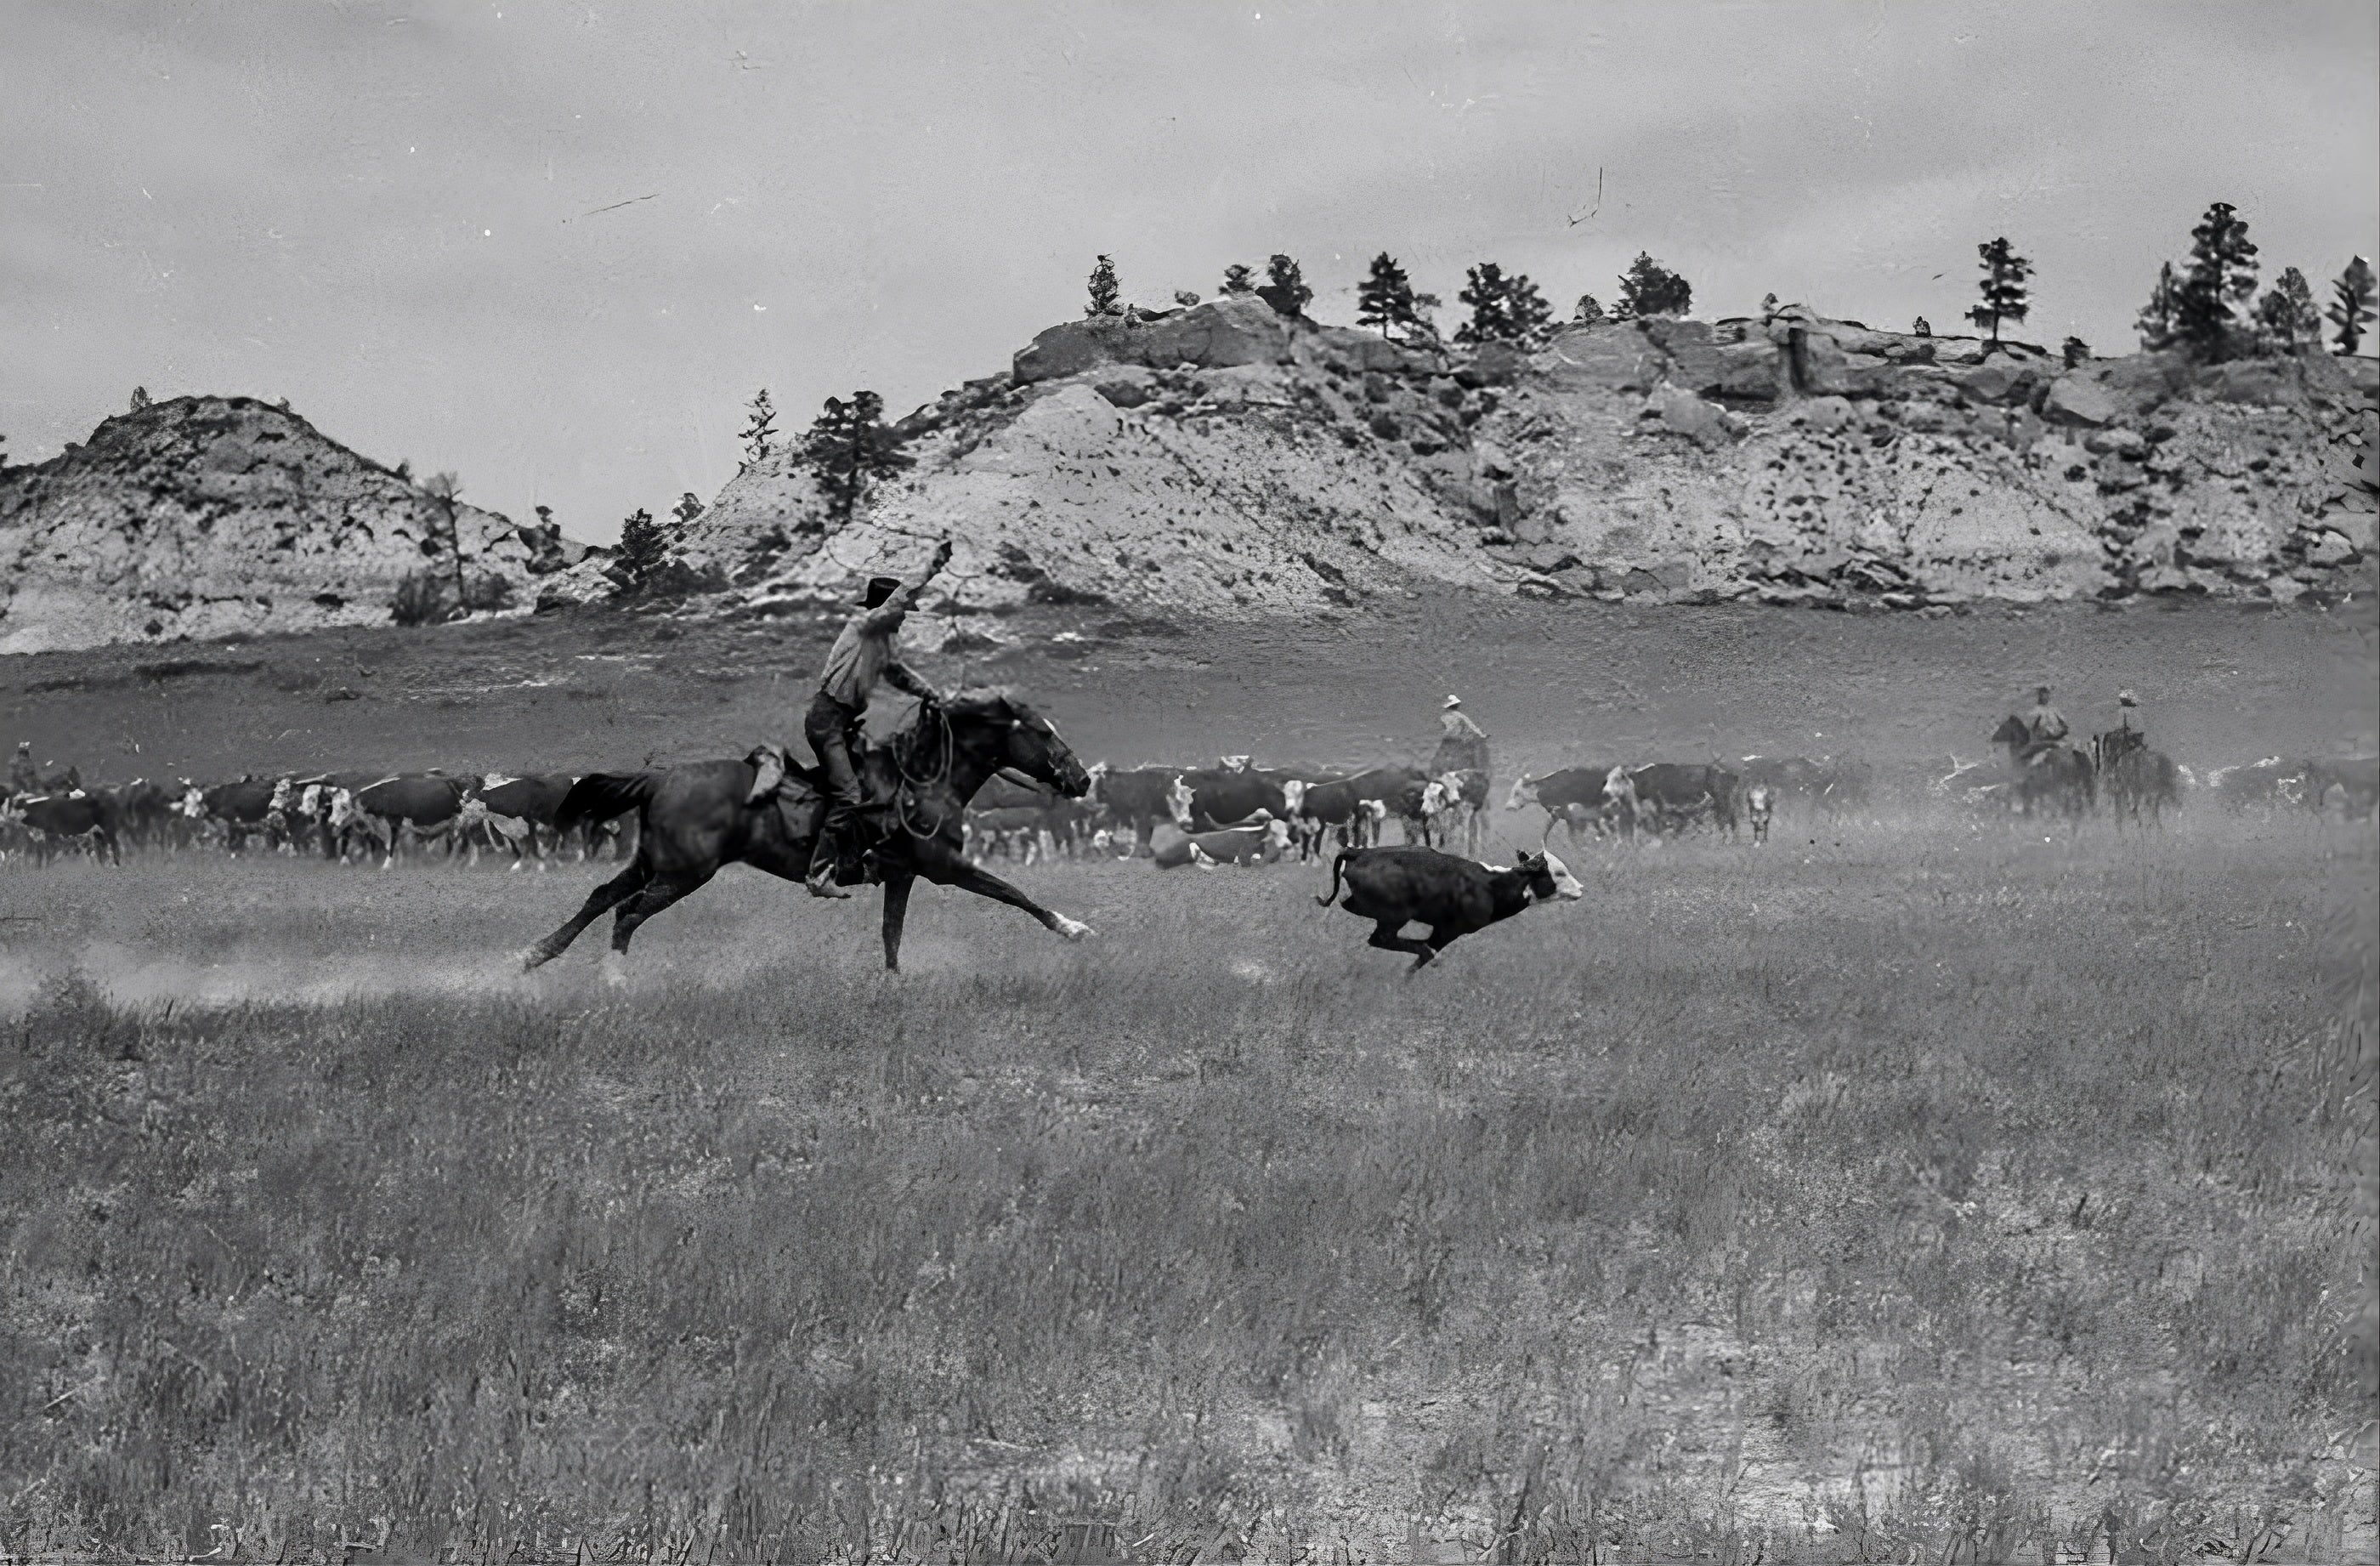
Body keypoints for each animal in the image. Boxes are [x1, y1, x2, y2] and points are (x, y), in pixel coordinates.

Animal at [1315, 845, 1584, 970]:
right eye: (1559, 873)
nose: (1581, 888)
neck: (1493, 885)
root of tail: (1358, 852)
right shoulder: (1448, 930)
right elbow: (1423, 957)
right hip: (1394, 916)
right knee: (1381, 939)